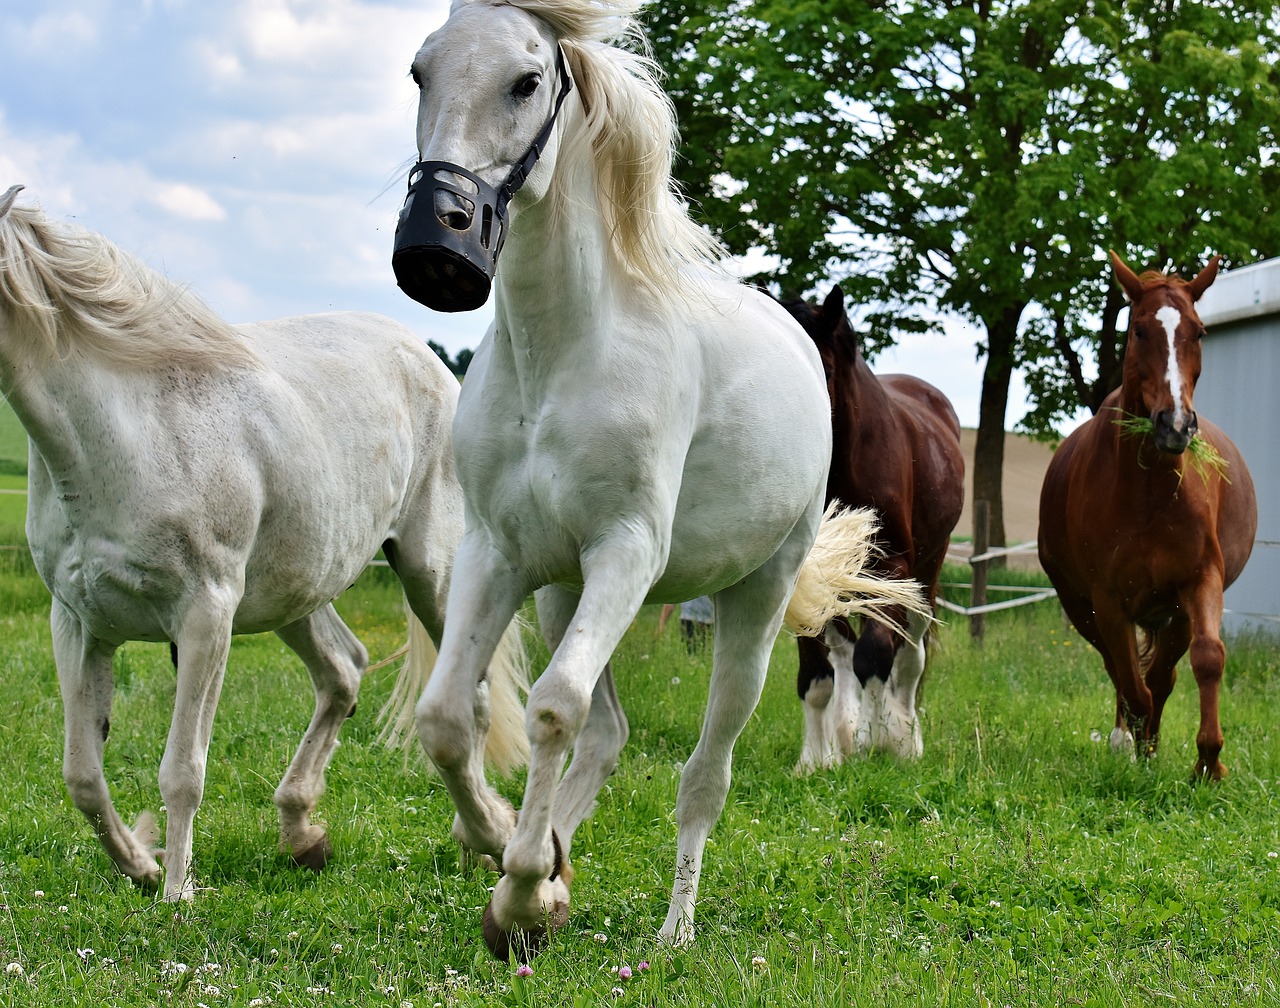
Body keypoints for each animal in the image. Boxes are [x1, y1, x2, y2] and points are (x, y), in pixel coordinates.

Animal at [0, 185, 529, 900]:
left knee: (467, 700)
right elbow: (82, 774)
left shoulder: (205, 616)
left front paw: (176, 894)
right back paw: (303, 831)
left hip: (432, 579)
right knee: (344, 671)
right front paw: (141, 865)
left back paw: (485, 836)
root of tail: (432, 364)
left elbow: (182, 769)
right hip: (294, 596)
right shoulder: (79, 621)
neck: (126, 432)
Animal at [394, 0, 926, 951]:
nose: (433, 238)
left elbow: (553, 709)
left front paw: (523, 894)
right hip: (563, 592)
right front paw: (511, 858)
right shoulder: (502, 555)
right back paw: (556, 867)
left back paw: (673, 928)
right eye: (421, 70)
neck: (561, 356)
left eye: (527, 81)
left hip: (750, 611)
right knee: (608, 735)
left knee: (703, 774)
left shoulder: (627, 553)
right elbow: (451, 717)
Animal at [783, 287, 962, 767]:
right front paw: (816, 758)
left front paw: (877, 739)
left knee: (910, 652)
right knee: (844, 650)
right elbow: (817, 674)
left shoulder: (891, 570)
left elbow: (876, 655)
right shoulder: (805, 578)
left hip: (925, 572)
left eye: (823, 370)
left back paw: (903, 736)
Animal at [1034, 252, 1254, 777]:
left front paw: (1209, 763)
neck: (1148, 494)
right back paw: (1130, 743)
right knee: (1124, 672)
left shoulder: (1199, 581)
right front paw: (1137, 752)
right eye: (1138, 330)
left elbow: (1206, 659)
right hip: (1083, 607)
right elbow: (1132, 685)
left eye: (1199, 332)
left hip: (1171, 614)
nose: (1175, 424)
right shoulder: (1107, 601)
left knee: (1162, 674)